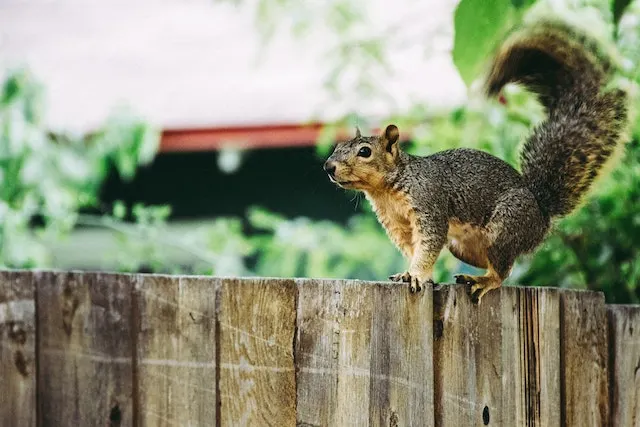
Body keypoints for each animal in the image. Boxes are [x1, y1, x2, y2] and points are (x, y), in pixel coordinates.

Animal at [323, 19, 629, 303]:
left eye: (365, 152)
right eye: (337, 146)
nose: (328, 167)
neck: (387, 189)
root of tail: (542, 212)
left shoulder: (429, 204)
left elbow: (428, 245)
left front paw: (416, 274)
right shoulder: (397, 224)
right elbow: (412, 248)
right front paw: (412, 273)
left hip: (506, 226)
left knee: (503, 271)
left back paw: (483, 280)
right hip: (465, 246)